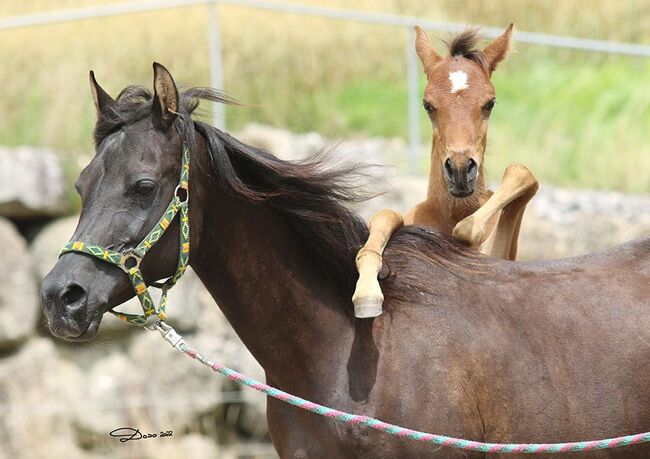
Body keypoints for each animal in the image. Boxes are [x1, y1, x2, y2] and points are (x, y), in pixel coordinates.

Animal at [354, 26, 536, 320]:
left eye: (490, 103)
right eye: (427, 104)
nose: (460, 171)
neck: (450, 215)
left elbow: (520, 172)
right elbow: (386, 214)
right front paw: (367, 293)